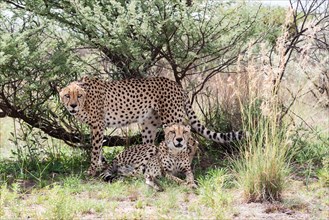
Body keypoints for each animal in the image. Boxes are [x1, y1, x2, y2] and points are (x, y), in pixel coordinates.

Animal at [59, 76, 243, 176]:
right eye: (67, 95)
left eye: (78, 95)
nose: (73, 106)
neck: (85, 101)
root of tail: (176, 84)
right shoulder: (97, 127)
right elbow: (99, 150)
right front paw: (103, 165)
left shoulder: (98, 124)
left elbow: (95, 149)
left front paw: (91, 170)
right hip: (148, 125)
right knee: (150, 146)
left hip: (172, 118)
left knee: (190, 141)